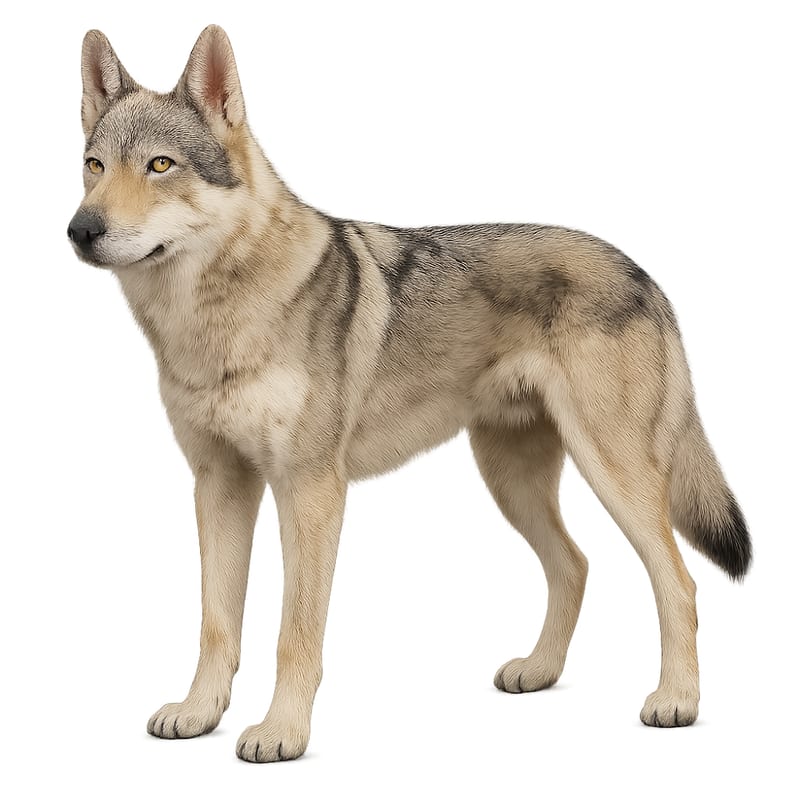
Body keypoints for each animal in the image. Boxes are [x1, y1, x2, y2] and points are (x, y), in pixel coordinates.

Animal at [68, 25, 751, 761]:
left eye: (160, 166)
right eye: (94, 165)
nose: (81, 230)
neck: (217, 321)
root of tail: (643, 272)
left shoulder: (310, 491)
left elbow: (293, 635)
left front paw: (281, 733)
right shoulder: (218, 484)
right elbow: (216, 623)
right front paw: (199, 714)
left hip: (614, 474)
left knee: (678, 582)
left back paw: (676, 701)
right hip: (510, 479)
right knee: (575, 565)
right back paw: (539, 671)